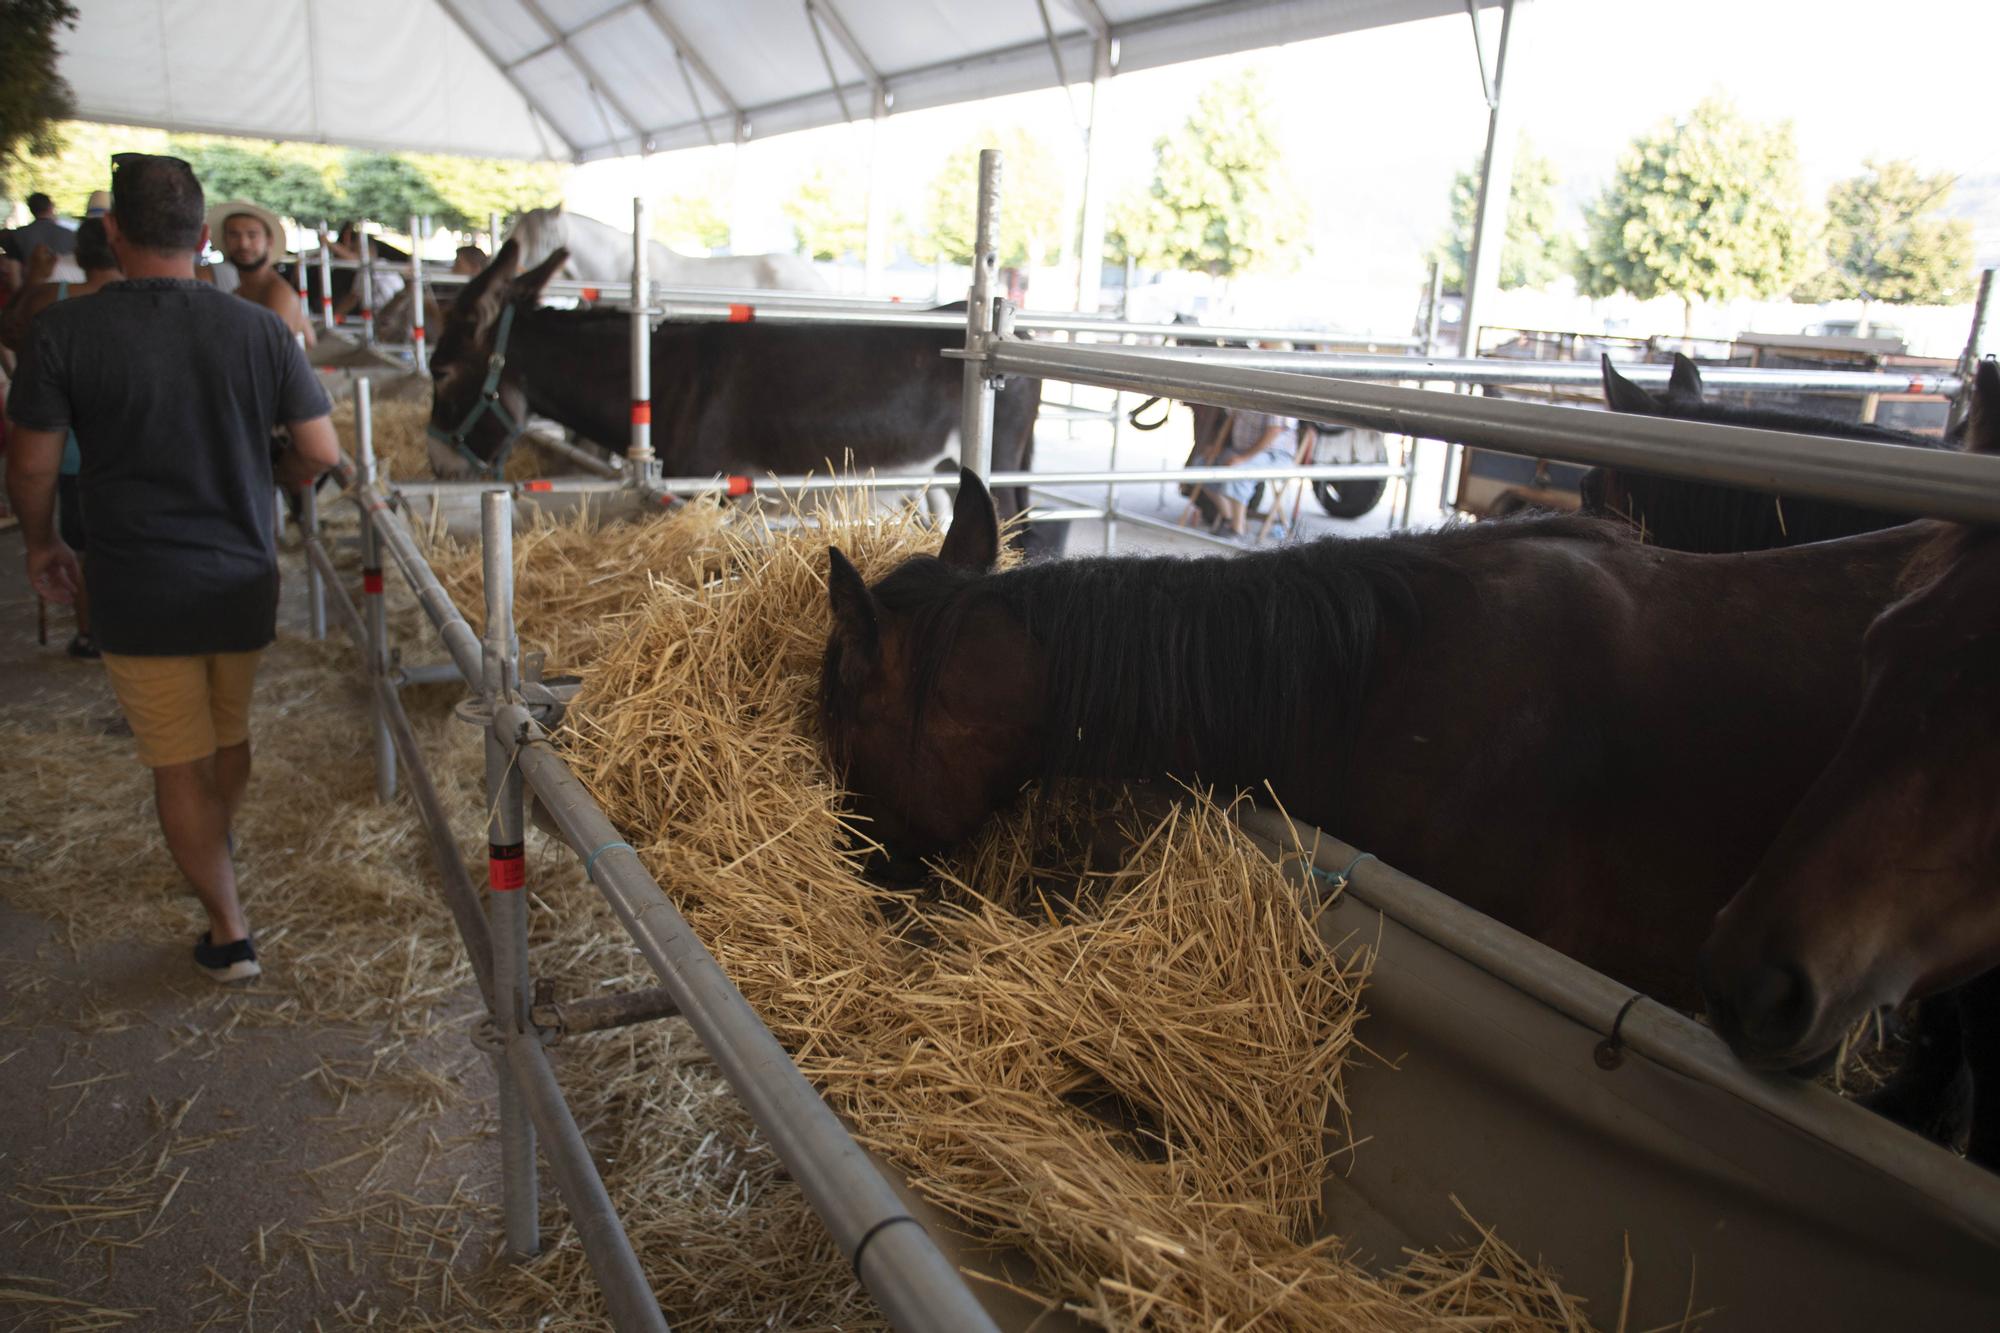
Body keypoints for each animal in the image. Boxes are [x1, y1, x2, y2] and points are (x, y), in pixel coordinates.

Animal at [426, 244, 1064, 556]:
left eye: (440, 370)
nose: (437, 463)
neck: (663, 378)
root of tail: (1019, 336)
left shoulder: (709, 493)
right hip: (937, 471)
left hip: (1000, 462)